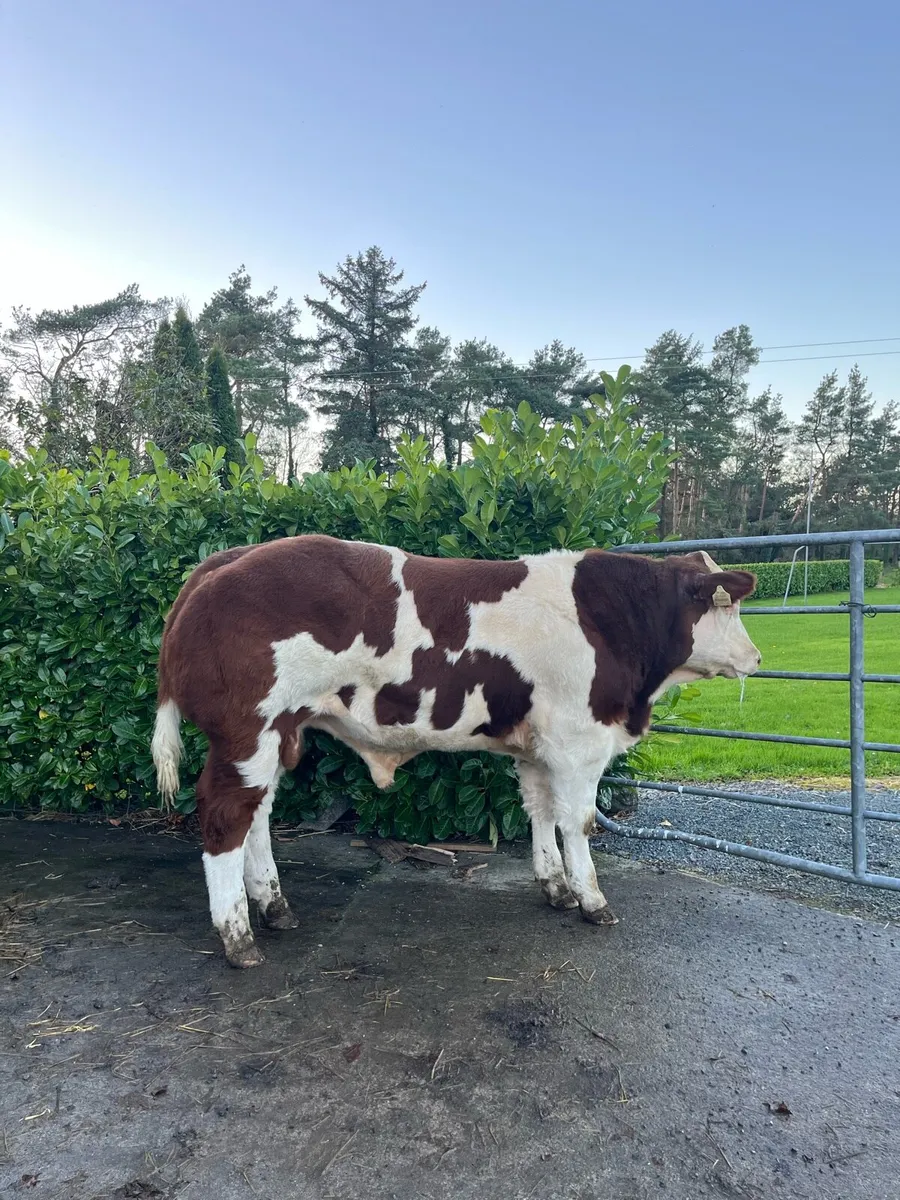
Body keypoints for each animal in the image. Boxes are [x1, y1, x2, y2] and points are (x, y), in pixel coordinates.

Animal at [152, 535, 759, 967]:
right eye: (728, 607)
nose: (755, 657)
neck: (613, 623)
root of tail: (226, 561)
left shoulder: (537, 747)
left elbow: (540, 813)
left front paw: (555, 888)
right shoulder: (578, 741)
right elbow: (579, 823)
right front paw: (592, 901)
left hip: (276, 733)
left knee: (258, 813)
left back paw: (274, 907)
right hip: (246, 730)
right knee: (226, 815)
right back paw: (238, 938)